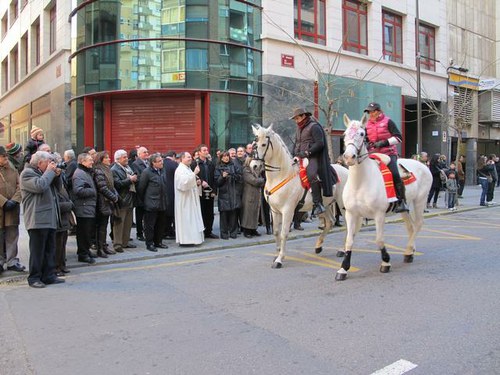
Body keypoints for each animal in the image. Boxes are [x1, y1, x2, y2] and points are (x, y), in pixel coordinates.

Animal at [252, 125, 346, 268]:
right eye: (254, 144)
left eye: (263, 144)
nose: (254, 166)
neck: (281, 175)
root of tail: (346, 170)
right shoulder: (274, 210)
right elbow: (276, 231)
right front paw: (277, 253)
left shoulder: (288, 210)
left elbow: (284, 233)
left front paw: (279, 259)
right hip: (326, 205)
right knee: (330, 222)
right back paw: (318, 246)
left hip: (343, 205)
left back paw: (343, 250)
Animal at [336, 114, 434, 282]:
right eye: (344, 134)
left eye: (362, 133)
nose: (349, 157)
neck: (361, 182)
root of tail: (422, 164)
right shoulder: (351, 214)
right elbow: (349, 240)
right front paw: (343, 268)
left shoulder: (379, 214)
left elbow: (379, 239)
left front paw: (386, 262)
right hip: (405, 208)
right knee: (410, 227)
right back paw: (410, 251)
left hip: (420, 201)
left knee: (418, 224)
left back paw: (409, 251)